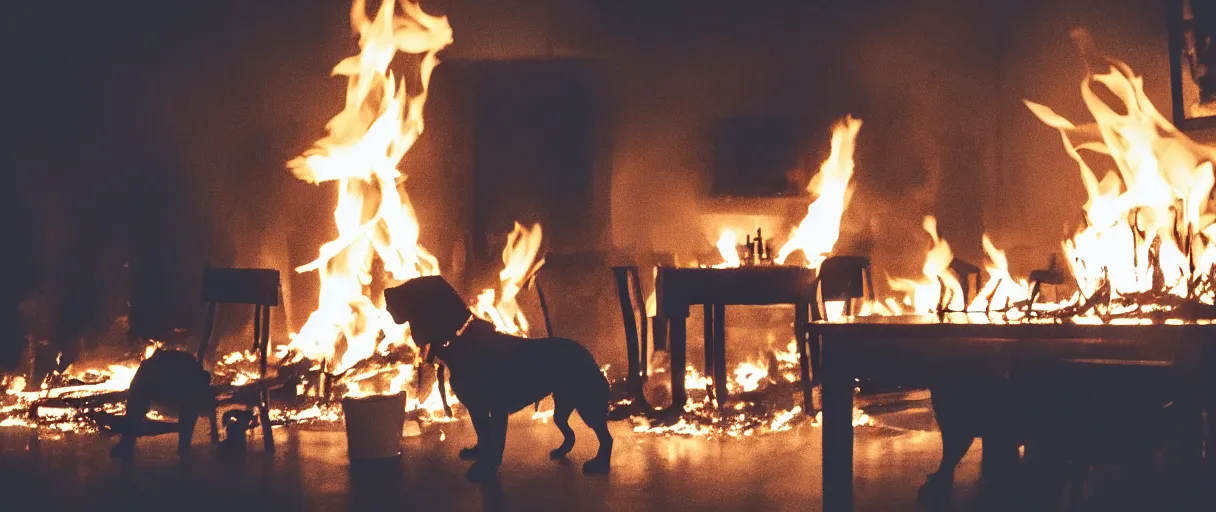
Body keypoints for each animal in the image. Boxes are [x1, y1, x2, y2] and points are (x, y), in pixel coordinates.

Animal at [384, 274, 612, 479]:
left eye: (412, 287)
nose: (385, 292)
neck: (459, 337)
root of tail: (589, 356)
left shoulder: (496, 409)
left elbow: (493, 440)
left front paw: (484, 468)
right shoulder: (476, 408)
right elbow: (482, 434)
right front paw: (478, 453)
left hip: (587, 405)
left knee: (606, 437)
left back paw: (599, 465)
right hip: (563, 406)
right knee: (570, 433)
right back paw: (562, 451)